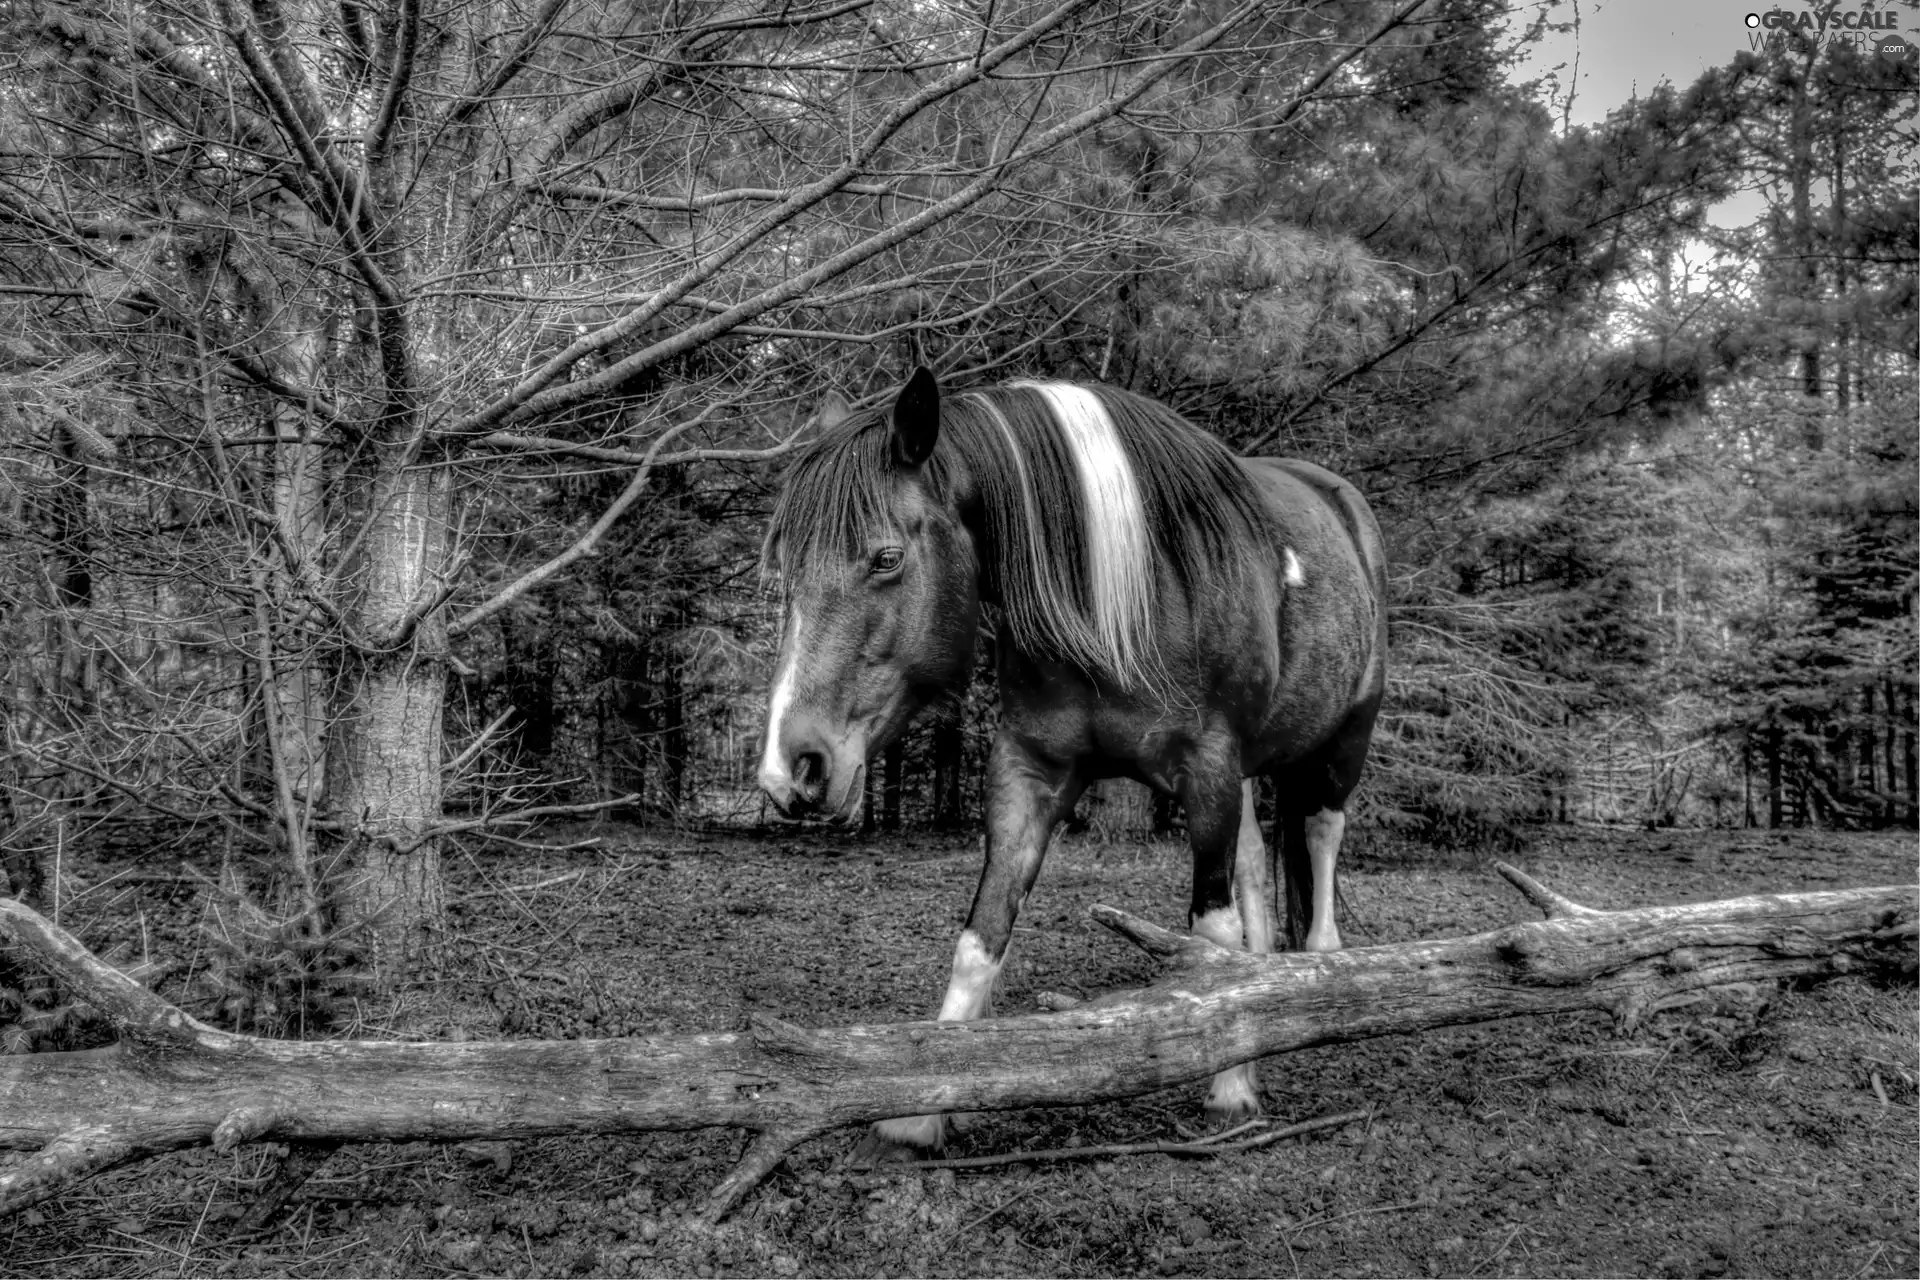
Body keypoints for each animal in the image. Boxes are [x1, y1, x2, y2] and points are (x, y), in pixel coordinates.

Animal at [756, 362, 1390, 1159]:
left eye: (887, 557)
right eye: (785, 568)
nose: (790, 768)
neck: (1120, 597)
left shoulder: (1207, 767)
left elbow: (1208, 935)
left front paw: (1228, 1090)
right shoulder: (1028, 770)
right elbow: (982, 936)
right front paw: (922, 1110)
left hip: (1342, 743)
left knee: (1320, 851)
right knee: (1253, 866)